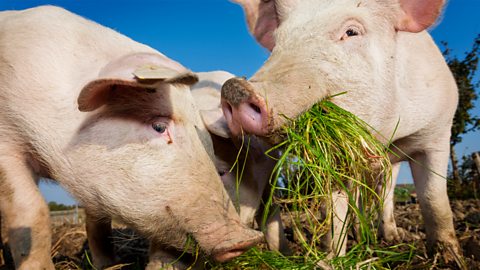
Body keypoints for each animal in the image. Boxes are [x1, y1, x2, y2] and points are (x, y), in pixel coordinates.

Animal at [0, 6, 262, 270]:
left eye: (207, 141)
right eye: (159, 126)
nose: (246, 239)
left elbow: (97, 219)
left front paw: (108, 264)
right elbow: (32, 211)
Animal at [221, 0, 462, 262]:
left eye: (351, 32)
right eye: (277, 41)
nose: (235, 88)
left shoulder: (437, 132)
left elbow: (433, 199)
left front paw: (451, 258)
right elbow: (335, 210)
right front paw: (330, 259)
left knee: (386, 191)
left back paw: (391, 238)